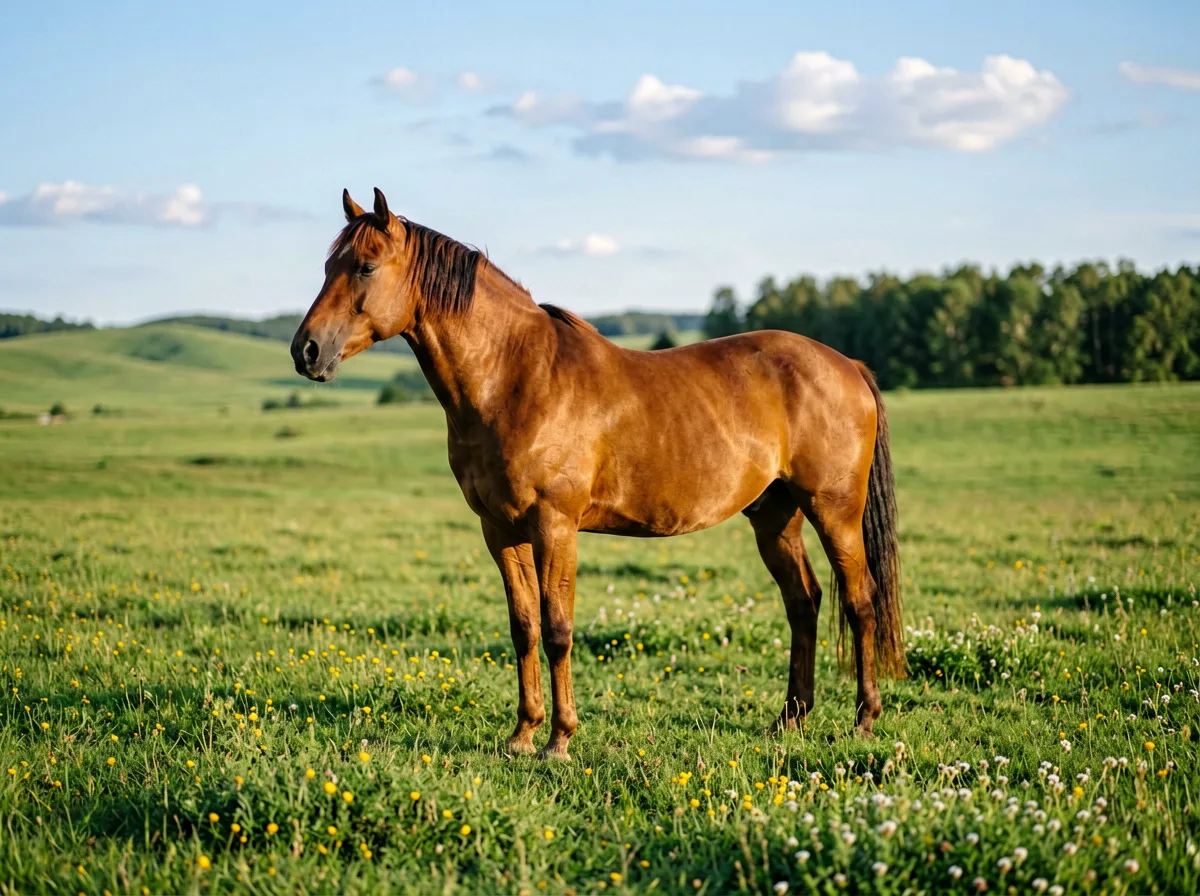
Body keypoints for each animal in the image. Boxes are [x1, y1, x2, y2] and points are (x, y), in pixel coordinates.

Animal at [292, 188, 905, 760]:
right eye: (326, 266)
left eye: (365, 267)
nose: (307, 350)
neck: (515, 377)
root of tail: (848, 366)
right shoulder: (500, 530)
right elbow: (524, 628)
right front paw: (522, 734)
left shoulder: (555, 526)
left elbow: (558, 629)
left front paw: (559, 740)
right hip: (775, 515)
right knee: (803, 603)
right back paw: (789, 720)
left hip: (834, 512)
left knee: (860, 603)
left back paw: (864, 720)